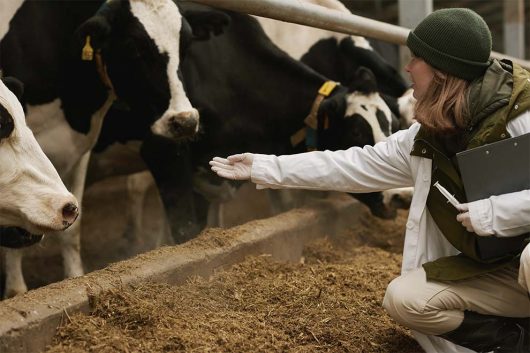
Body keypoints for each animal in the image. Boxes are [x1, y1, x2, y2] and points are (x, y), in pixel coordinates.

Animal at [1, 0, 229, 296]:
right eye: (133, 47)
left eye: (186, 44)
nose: (185, 121)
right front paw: (16, 291)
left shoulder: (79, 152)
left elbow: (72, 229)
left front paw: (75, 278)